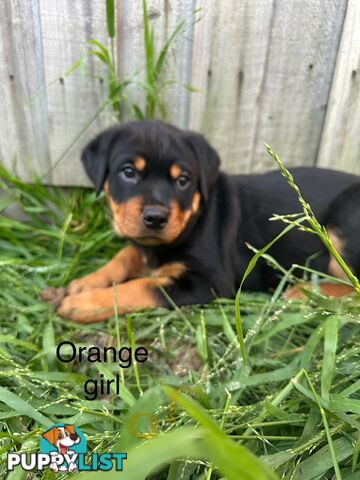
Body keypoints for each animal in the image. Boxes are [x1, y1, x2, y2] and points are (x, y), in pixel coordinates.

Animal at [57, 120, 360, 322]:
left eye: (183, 180)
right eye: (128, 172)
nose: (155, 218)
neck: (193, 220)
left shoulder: (210, 281)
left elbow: (144, 286)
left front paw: (84, 303)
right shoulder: (145, 244)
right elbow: (126, 255)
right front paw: (86, 283)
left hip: (345, 219)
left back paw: (305, 292)